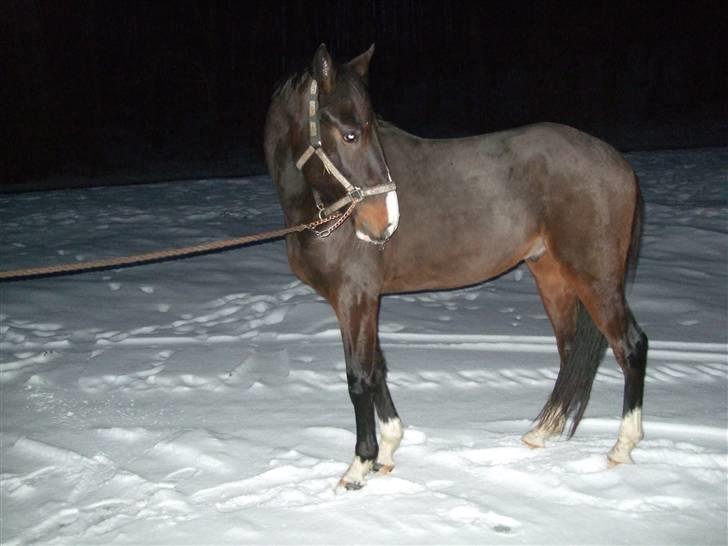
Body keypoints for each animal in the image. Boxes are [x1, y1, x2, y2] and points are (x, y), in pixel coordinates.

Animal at [264, 44, 648, 488]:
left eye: (365, 130)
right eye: (350, 134)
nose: (386, 222)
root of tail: (617, 161)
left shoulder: (354, 299)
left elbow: (359, 377)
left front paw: (360, 465)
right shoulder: (365, 301)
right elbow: (377, 370)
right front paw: (389, 449)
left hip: (595, 279)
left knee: (631, 346)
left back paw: (622, 446)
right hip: (553, 277)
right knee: (570, 352)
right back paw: (542, 432)